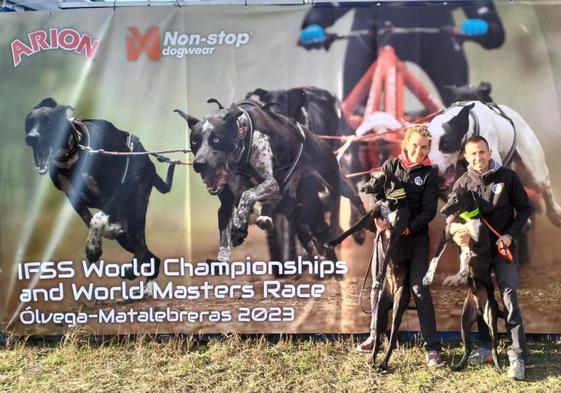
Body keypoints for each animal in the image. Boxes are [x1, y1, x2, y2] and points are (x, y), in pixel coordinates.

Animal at [24, 99, 175, 294]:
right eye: (29, 122)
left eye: (48, 122)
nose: (31, 137)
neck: (75, 154)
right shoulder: (73, 197)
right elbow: (91, 221)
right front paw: (101, 238)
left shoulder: (118, 189)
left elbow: (97, 219)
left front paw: (93, 248)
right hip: (126, 234)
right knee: (150, 255)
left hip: (137, 208)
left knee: (144, 250)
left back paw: (142, 280)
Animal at [176, 99, 368, 264]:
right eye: (195, 142)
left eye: (216, 139)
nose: (199, 164)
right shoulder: (227, 204)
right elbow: (226, 233)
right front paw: (224, 254)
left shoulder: (271, 183)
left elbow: (248, 195)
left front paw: (239, 227)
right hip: (295, 212)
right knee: (308, 240)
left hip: (334, 179)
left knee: (354, 196)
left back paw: (364, 218)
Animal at [324, 170, 412, 370]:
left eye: (375, 178)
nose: (361, 188)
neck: (390, 201)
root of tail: (390, 294)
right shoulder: (372, 218)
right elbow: (351, 229)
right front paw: (332, 241)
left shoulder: (395, 232)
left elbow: (386, 258)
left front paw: (379, 275)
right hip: (379, 308)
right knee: (378, 336)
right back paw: (372, 360)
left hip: (398, 305)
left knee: (392, 337)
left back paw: (384, 363)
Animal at [420, 187, 498, 370]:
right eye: (448, 198)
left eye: (456, 199)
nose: (442, 211)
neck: (464, 219)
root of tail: (479, 305)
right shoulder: (446, 237)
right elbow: (434, 260)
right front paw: (428, 277)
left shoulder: (483, 244)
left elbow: (469, 251)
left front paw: (463, 270)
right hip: (464, 323)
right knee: (468, 348)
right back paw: (458, 366)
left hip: (491, 317)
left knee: (494, 346)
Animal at [428, 99, 560, 227]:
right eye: (427, 146)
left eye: (446, 143)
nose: (433, 168)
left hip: (533, 173)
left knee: (545, 185)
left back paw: (555, 214)